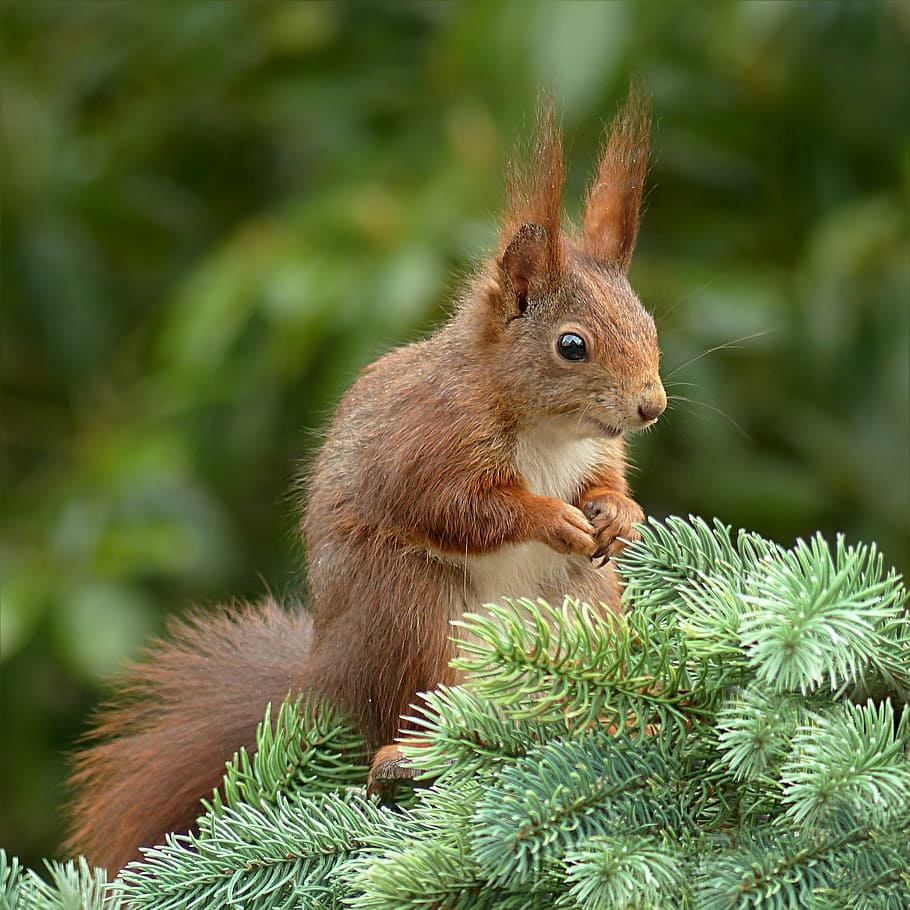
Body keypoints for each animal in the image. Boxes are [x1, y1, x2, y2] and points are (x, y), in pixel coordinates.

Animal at [65, 88, 666, 872]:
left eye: (649, 322)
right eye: (573, 346)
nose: (652, 406)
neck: (546, 431)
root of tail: (327, 678)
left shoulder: (594, 457)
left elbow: (608, 482)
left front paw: (620, 516)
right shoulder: (425, 443)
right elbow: (460, 508)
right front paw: (551, 518)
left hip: (578, 608)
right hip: (408, 612)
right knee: (408, 713)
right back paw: (403, 756)